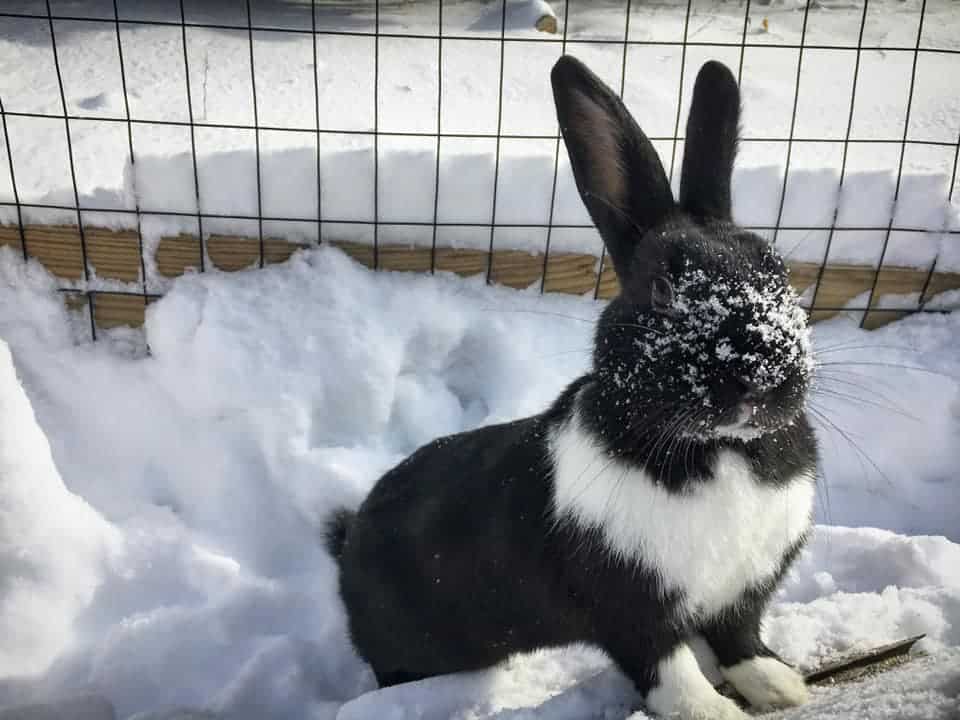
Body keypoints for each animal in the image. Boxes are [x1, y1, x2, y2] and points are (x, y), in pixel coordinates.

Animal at [322, 56, 816, 720]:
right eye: (663, 290)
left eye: (778, 272)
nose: (761, 375)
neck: (723, 451)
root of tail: (348, 542)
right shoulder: (628, 606)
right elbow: (668, 669)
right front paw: (712, 711)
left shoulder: (741, 591)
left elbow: (740, 639)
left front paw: (780, 684)